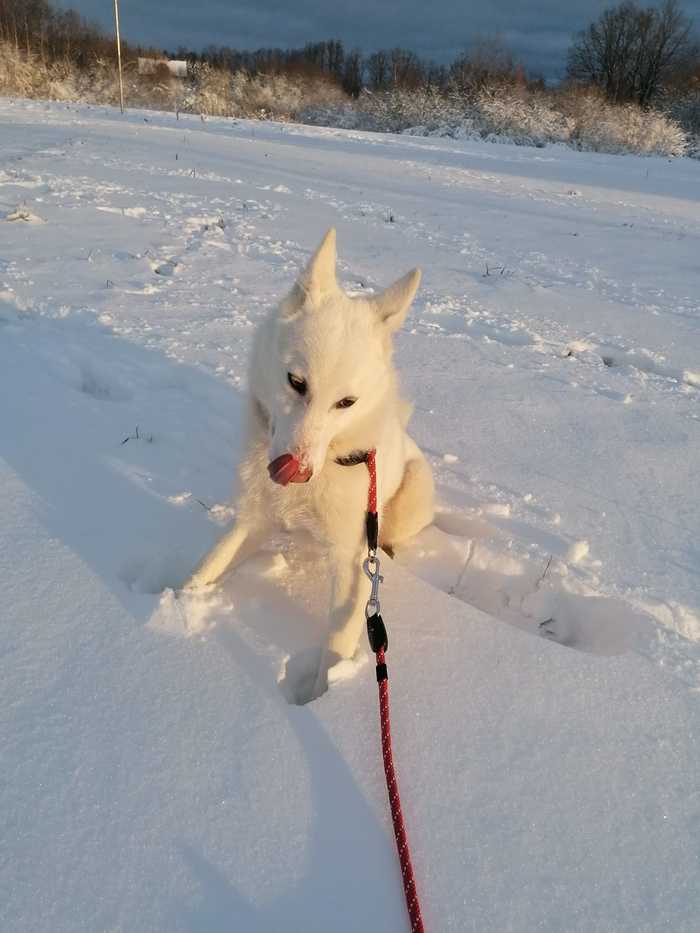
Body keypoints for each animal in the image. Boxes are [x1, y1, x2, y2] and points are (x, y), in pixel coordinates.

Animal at [186, 228, 438, 692]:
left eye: (346, 402)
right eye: (295, 381)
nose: (297, 470)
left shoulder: (352, 559)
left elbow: (337, 640)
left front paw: (326, 693)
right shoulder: (254, 518)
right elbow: (207, 566)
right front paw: (173, 606)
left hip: (408, 496)